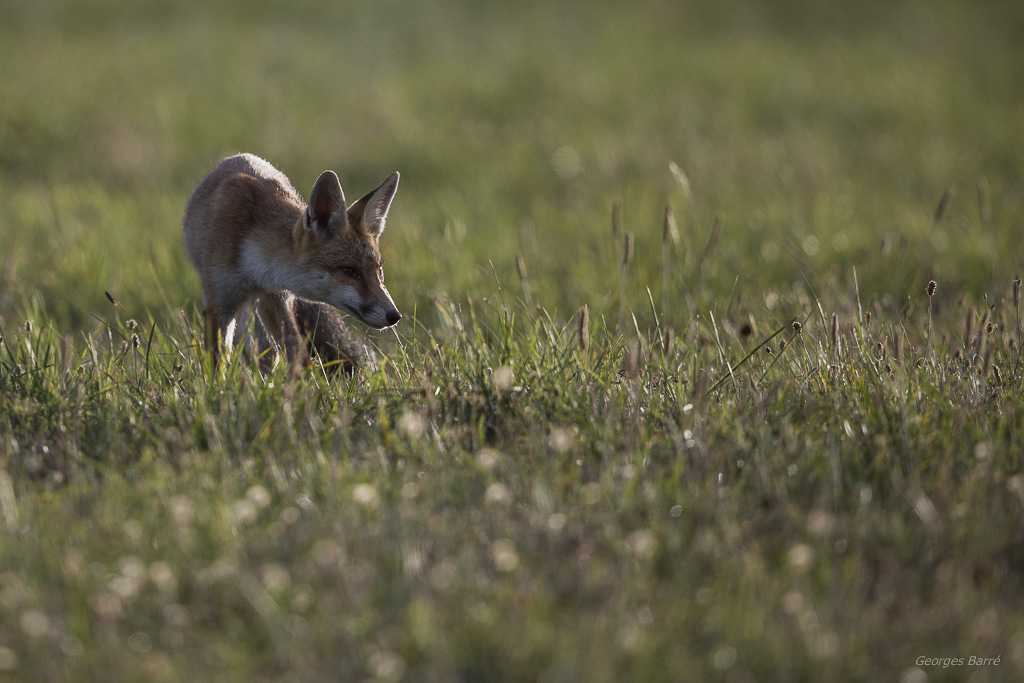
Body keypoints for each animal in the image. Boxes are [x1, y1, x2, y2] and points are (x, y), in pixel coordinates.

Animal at [184, 153, 399, 374]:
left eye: (379, 270)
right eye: (349, 270)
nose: (394, 315)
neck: (252, 264)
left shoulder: (277, 295)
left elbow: (296, 350)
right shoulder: (219, 304)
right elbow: (217, 364)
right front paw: (219, 383)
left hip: (265, 304)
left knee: (270, 351)